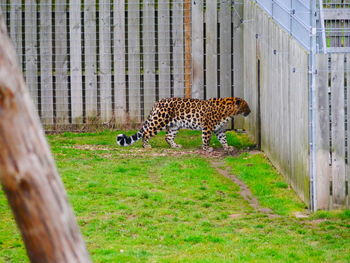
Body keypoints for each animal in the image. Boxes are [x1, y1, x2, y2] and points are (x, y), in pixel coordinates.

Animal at [116, 97, 250, 152]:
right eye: (246, 106)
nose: (250, 112)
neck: (229, 112)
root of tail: (157, 102)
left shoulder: (219, 129)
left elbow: (223, 139)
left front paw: (227, 148)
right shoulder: (208, 127)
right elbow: (206, 138)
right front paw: (206, 148)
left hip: (175, 125)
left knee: (167, 136)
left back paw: (175, 146)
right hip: (159, 121)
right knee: (146, 132)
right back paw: (146, 146)